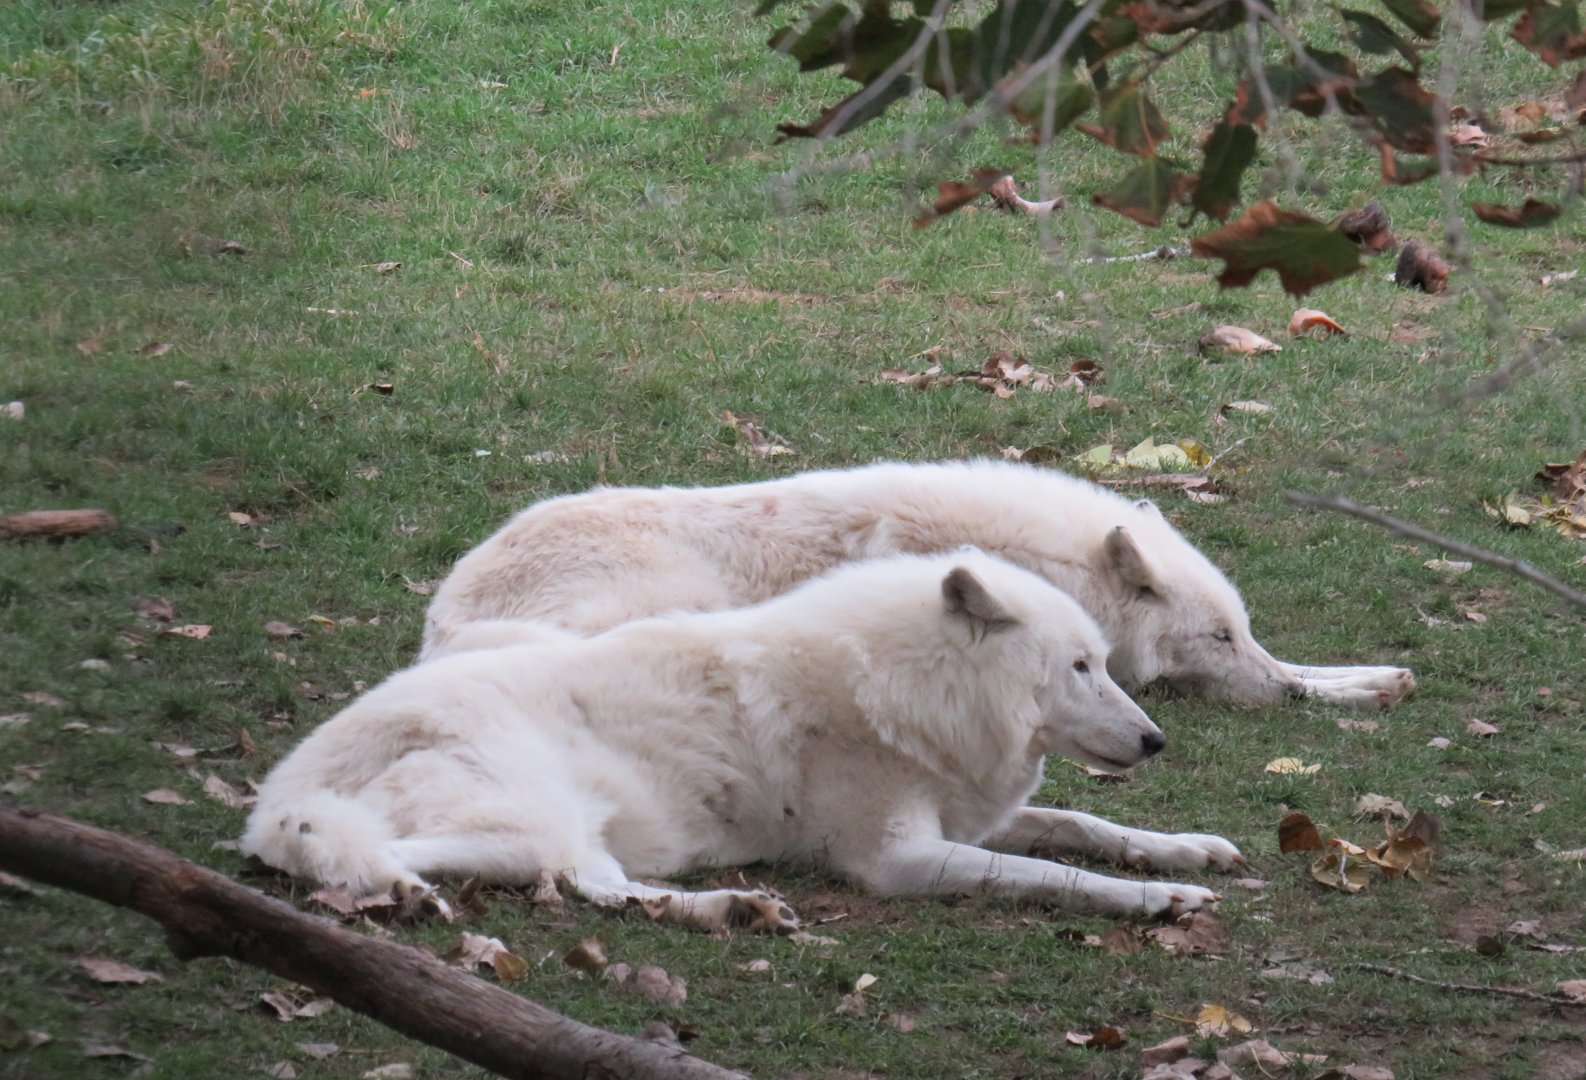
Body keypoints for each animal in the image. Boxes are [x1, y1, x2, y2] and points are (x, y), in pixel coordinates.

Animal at [243, 551, 1238, 927]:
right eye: (1080, 667)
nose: (1156, 741)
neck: (909, 684)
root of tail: (275, 794)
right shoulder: (900, 860)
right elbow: (1051, 873)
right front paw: (1160, 899)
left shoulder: (965, 812)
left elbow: (1083, 826)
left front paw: (1189, 849)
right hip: (530, 814)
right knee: (564, 882)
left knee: (595, 885)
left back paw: (735, 909)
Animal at [422, 460, 1413, 709]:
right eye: (1216, 639)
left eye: (1242, 631)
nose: (1270, 687)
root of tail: (441, 619)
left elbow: (1320, 671)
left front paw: (1366, 679)